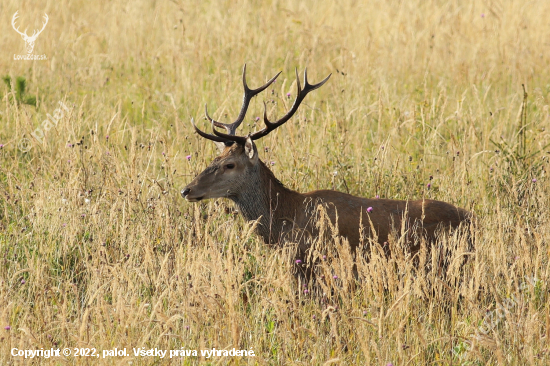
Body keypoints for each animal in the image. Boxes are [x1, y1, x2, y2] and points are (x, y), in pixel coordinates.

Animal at [182, 65, 474, 274]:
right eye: (216, 157)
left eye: (229, 164)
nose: (187, 190)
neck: (284, 221)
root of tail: (472, 219)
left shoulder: (313, 260)